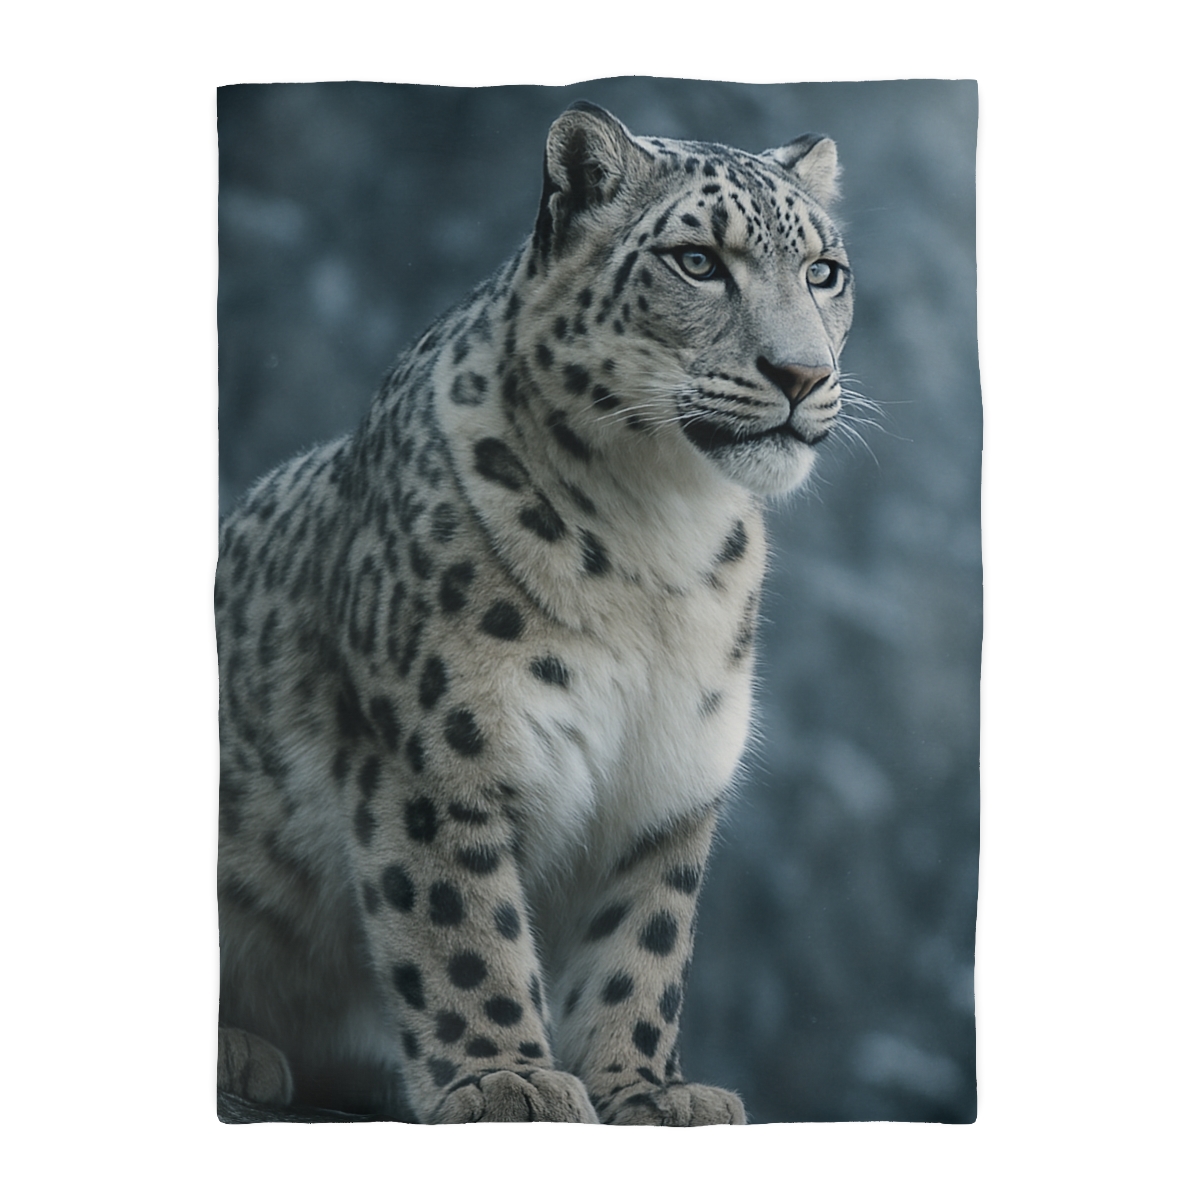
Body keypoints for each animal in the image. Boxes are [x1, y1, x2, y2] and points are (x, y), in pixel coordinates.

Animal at [216, 100, 854, 1125]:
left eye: (824, 272)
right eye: (698, 261)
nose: (801, 373)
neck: (661, 544)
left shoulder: (670, 785)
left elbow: (643, 945)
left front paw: (647, 1090)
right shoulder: (437, 757)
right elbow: (462, 926)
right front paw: (503, 1078)